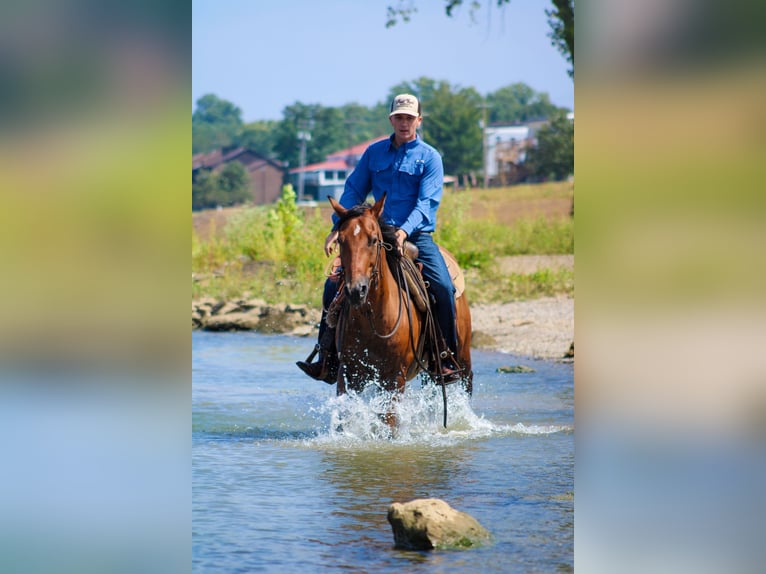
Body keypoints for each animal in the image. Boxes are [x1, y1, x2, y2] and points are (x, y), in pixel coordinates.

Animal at [330, 196, 474, 430]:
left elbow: (389, 422)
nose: (356, 290)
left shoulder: (394, 376)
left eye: (373, 240)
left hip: (462, 356)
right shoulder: (350, 372)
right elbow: (346, 417)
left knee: (465, 384)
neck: (374, 320)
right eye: (340, 240)